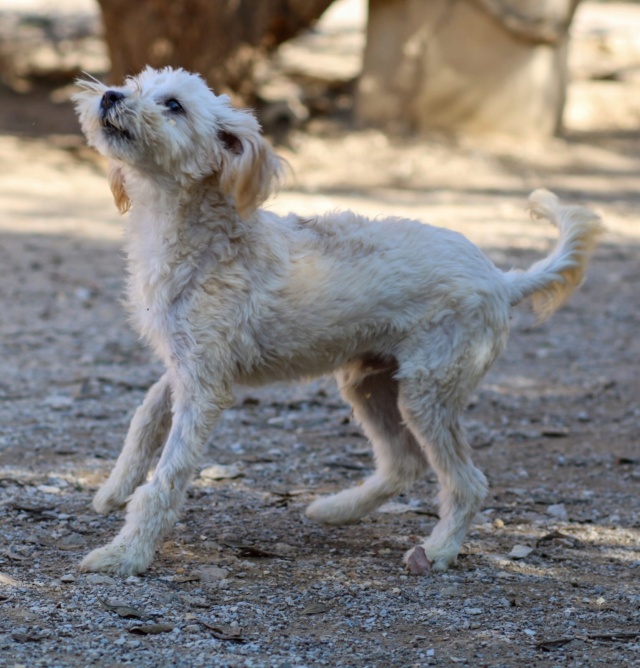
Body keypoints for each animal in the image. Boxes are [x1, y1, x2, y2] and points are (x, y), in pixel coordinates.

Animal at [72, 68, 604, 576]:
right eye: (138, 84)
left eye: (174, 105)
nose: (111, 95)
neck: (198, 238)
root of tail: (501, 279)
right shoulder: (184, 364)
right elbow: (145, 416)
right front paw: (114, 489)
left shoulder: (205, 386)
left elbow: (167, 477)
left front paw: (126, 555)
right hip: (370, 384)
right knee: (404, 463)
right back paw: (334, 509)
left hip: (429, 392)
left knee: (466, 482)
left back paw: (437, 551)